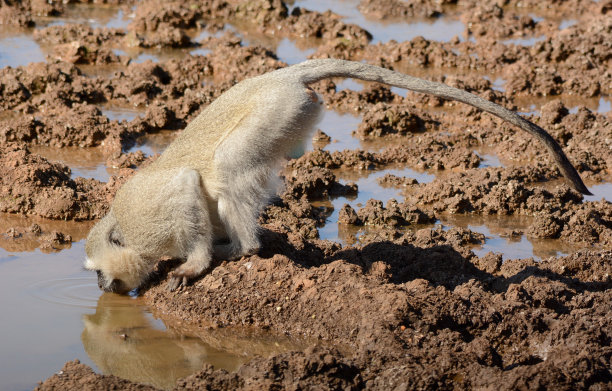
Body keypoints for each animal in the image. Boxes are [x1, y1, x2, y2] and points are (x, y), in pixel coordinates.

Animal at [83, 59, 592, 294]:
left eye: (98, 272)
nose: (102, 287)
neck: (124, 228)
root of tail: (283, 76)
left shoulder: (153, 216)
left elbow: (187, 185)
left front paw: (195, 263)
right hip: (293, 115)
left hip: (278, 110)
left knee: (228, 163)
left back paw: (243, 249)